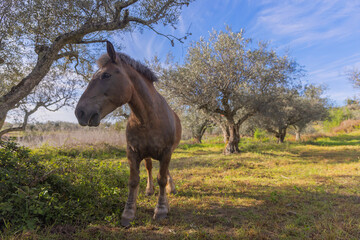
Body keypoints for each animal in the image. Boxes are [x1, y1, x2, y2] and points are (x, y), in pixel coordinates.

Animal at [75, 41, 181, 227]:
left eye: (106, 75)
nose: (80, 112)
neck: (148, 118)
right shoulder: (132, 152)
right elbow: (133, 181)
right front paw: (128, 213)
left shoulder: (167, 151)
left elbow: (162, 178)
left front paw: (161, 209)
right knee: (150, 168)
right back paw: (150, 190)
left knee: (163, 172)